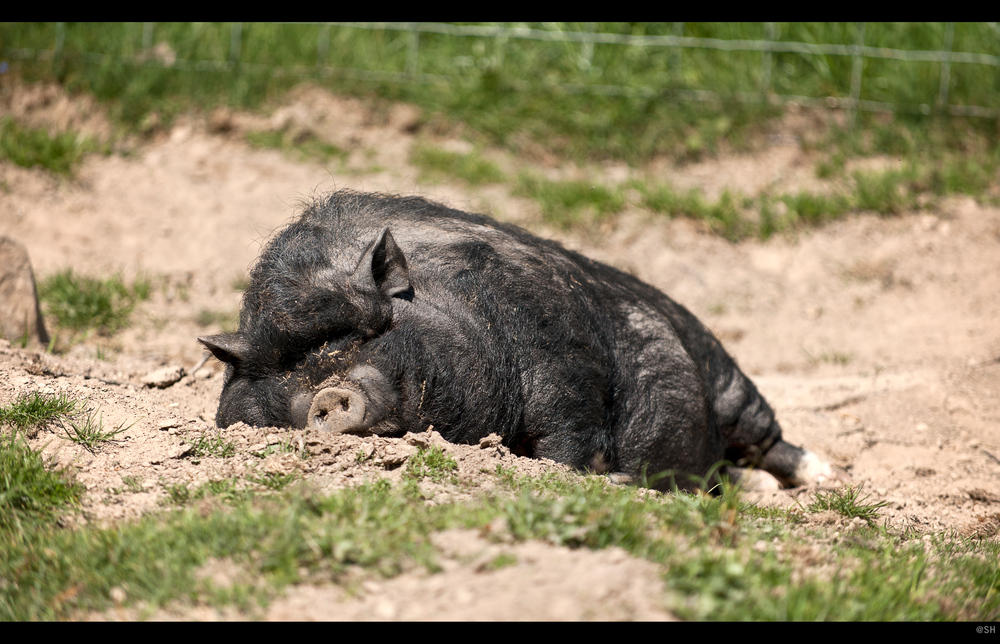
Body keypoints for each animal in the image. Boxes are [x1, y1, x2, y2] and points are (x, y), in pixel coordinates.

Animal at [199, 189, 832, 490]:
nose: (327, 395)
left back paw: (822, 478)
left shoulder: (562, 355)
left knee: (767, 438)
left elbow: (567, 434)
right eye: (285, 373)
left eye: (368, 333)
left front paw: (601, 477)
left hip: (726, 374)